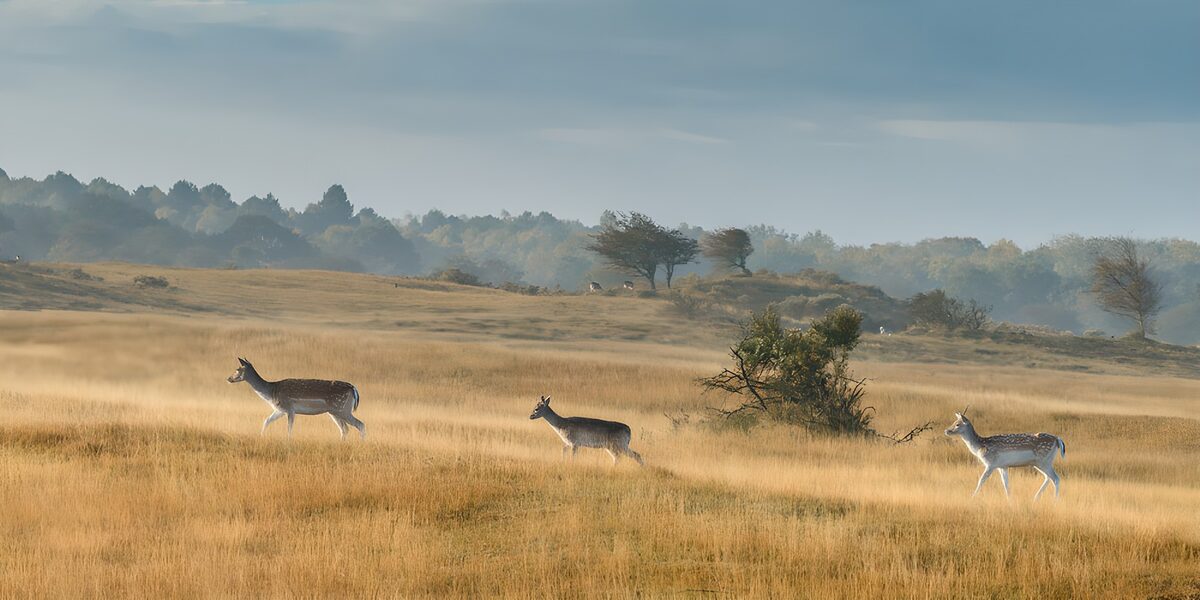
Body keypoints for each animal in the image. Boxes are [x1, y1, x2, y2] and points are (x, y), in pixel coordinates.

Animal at [227, 357, 366, 440]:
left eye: (237, 369)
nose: (229, 378)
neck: (271, 392)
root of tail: (354, 389)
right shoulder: (280, 409)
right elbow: (266, 420)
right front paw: (261, 437)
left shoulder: (289, 408)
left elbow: (289, 428)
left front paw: (288, 442)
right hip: (334, 412)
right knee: (345, 429)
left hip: (342, 409)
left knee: (360, 424)